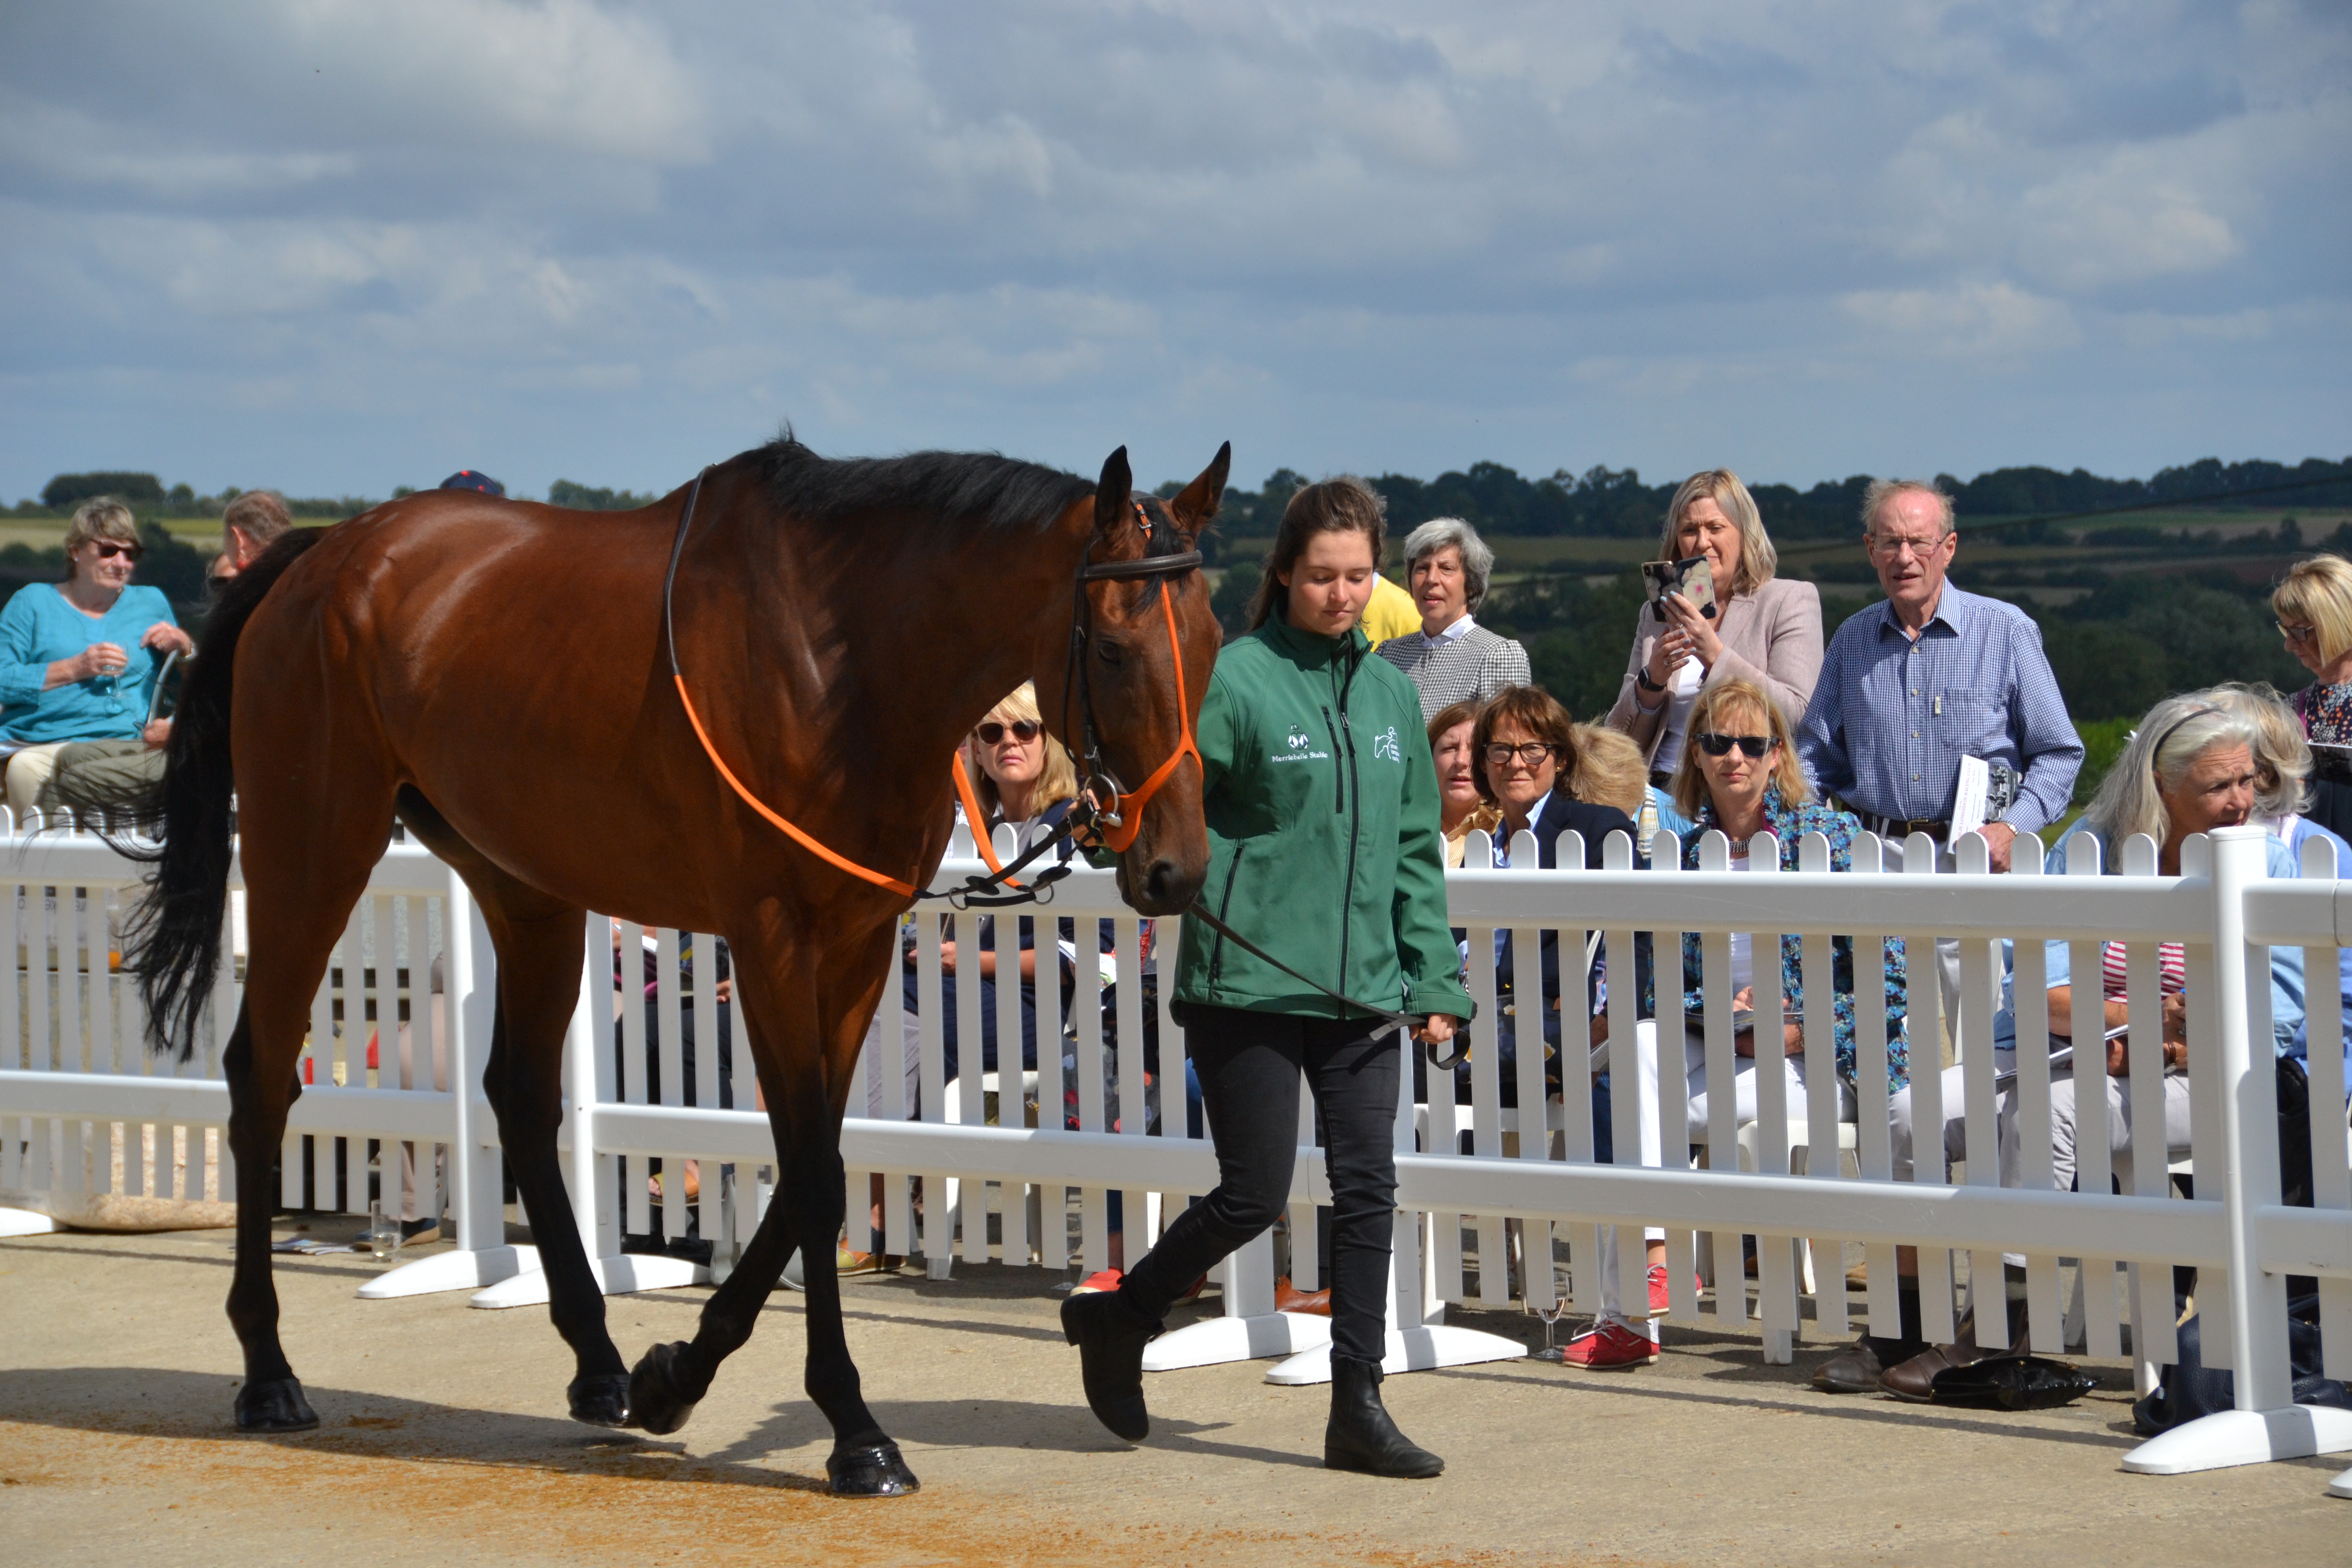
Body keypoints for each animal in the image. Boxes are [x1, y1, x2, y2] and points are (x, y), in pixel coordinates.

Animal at [124, 432, 1232, 1495]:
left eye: (1215, 642)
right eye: (1118, 649)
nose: (1174, 867)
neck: (843, 656)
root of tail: (324, 555)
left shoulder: (858, 943)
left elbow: (811, 1169)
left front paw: (672, 1378)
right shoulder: (772, 934)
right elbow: (814, 1178)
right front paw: (854, 1432)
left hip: (524, 885)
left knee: (517, 1094)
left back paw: (598, 1364)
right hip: (312, 853)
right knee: (262, 1076)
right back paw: (268, 1373)